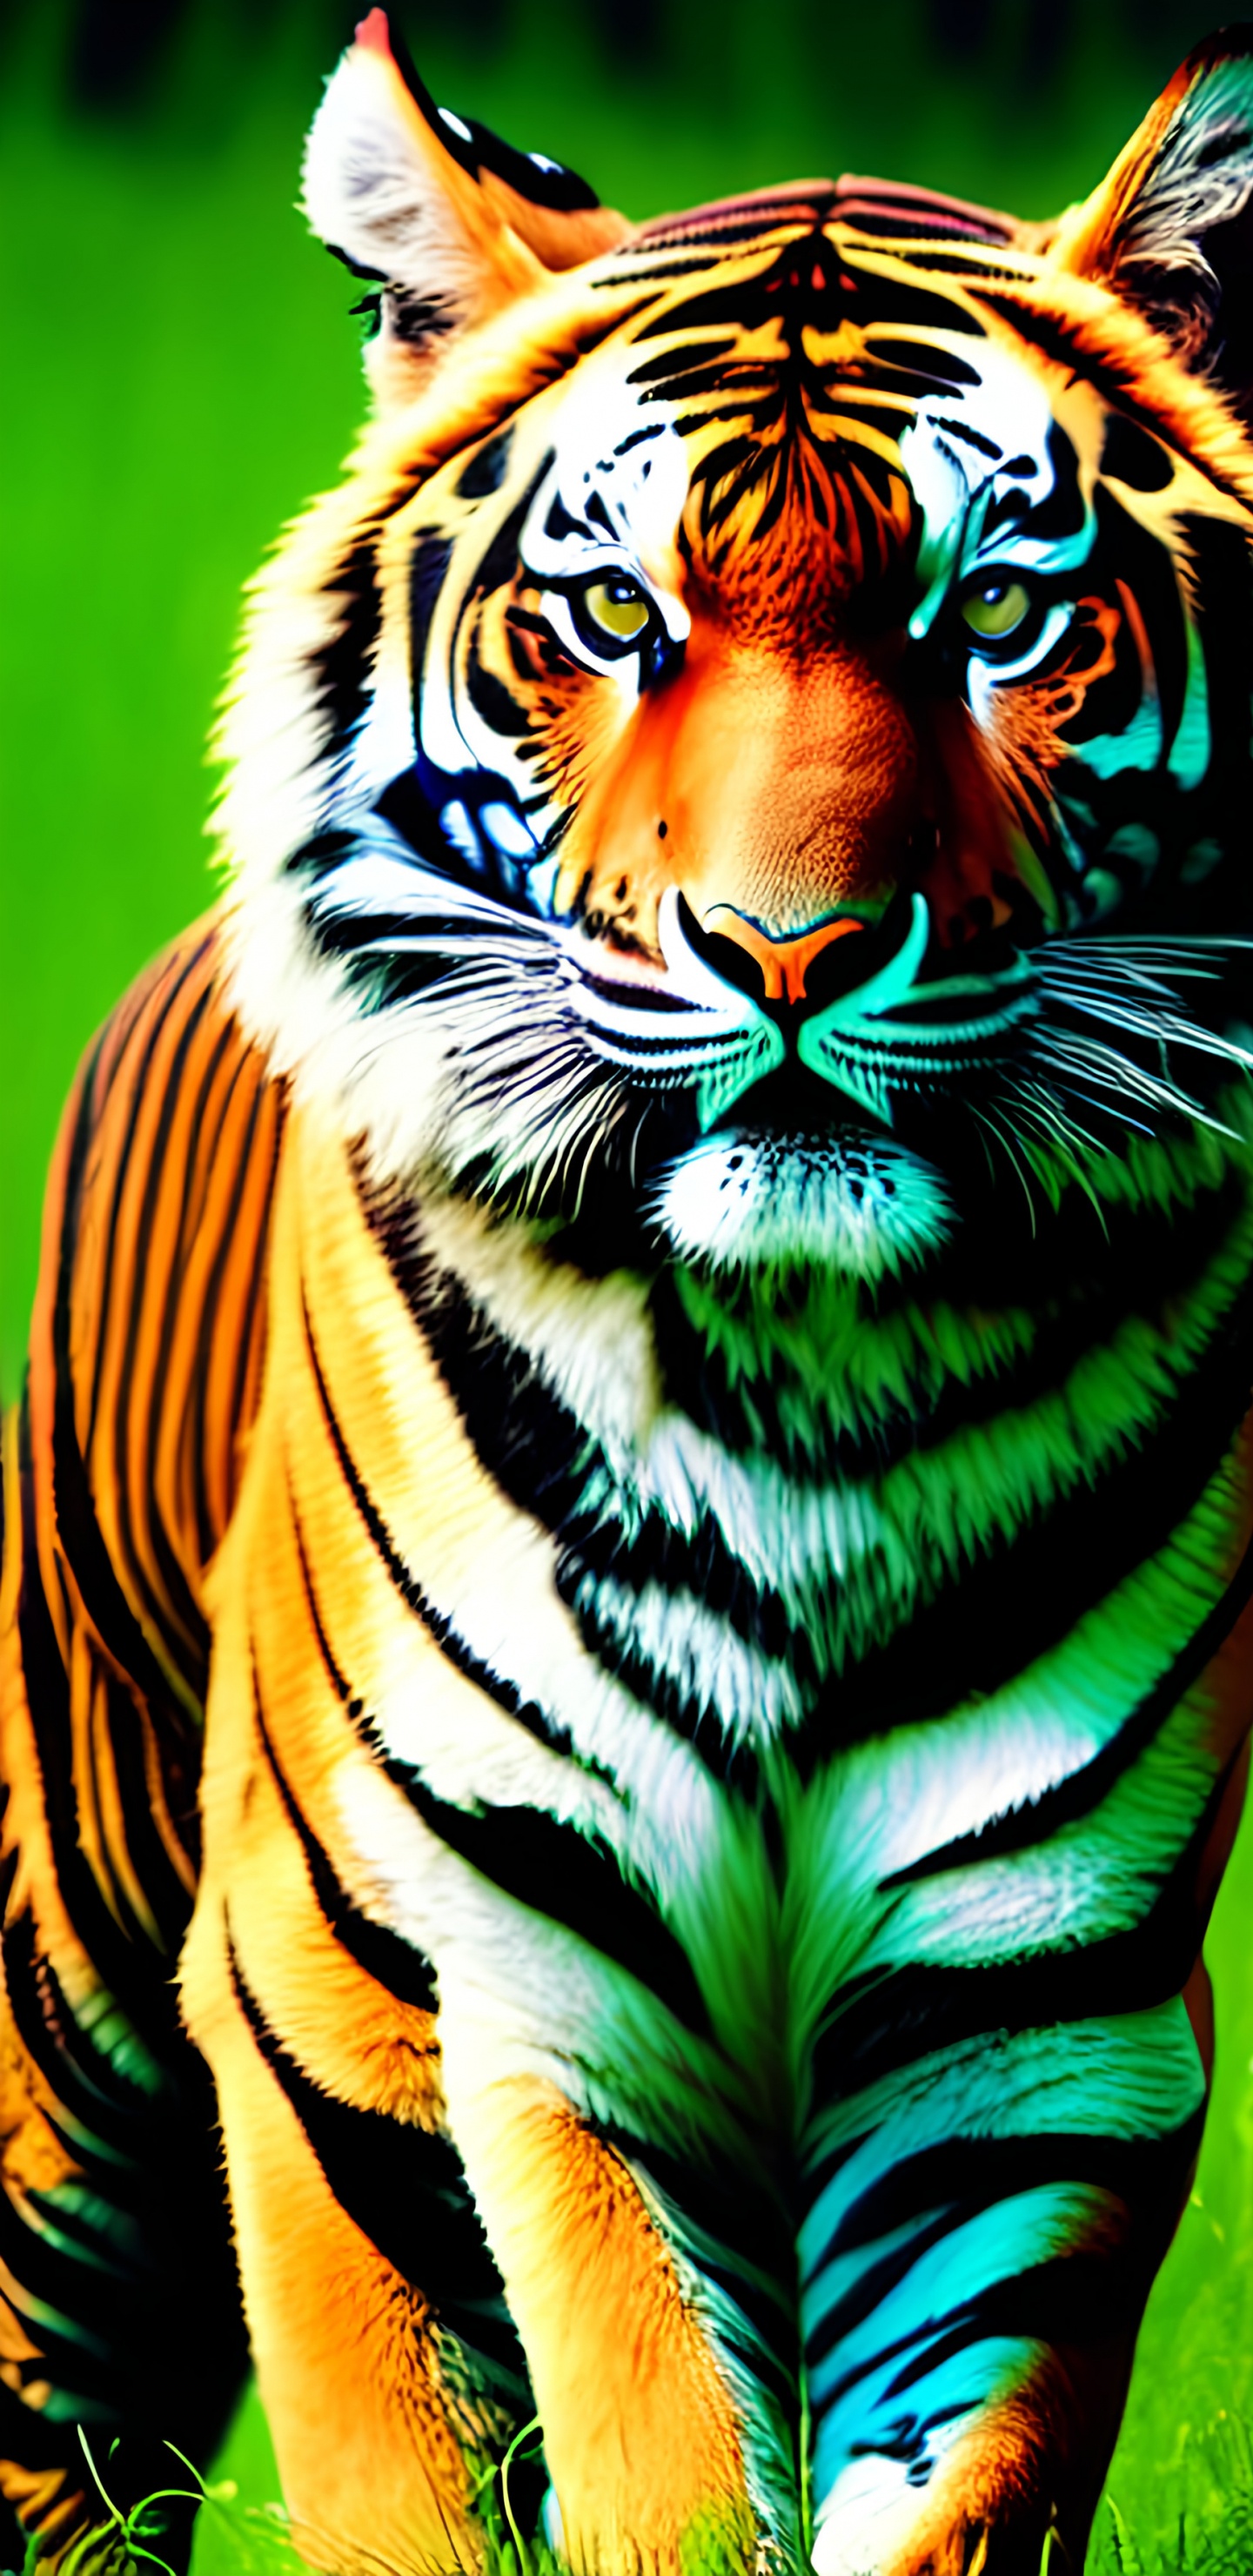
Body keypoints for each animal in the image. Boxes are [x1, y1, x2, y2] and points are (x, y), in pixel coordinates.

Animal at [4, 9, 1253, 2572]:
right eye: (607, 622)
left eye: (1000, 621)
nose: (787, 948)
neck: (800, 1380)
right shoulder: (451, 1973)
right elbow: (621, 2439)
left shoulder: (1031, 2013)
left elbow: (942, 2473)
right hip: (87, 1984)